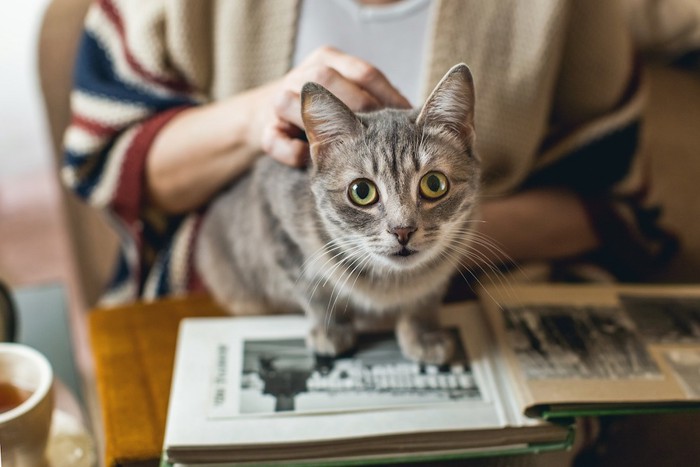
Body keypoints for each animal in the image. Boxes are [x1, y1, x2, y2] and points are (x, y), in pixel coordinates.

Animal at [197, 63, 482, 366]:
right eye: (361, 191)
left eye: (434, 184)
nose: (402, 230)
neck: (391, 281)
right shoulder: (280, 232)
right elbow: (317, 294)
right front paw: (330, 330)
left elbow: (425, 299)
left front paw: (424, 334)